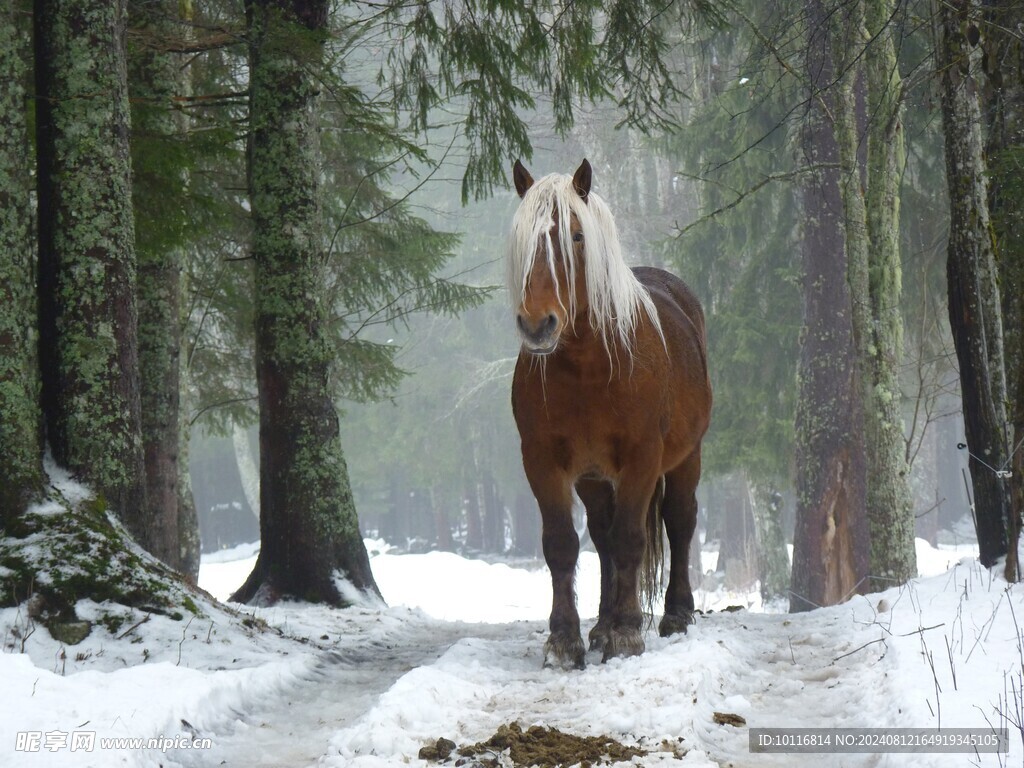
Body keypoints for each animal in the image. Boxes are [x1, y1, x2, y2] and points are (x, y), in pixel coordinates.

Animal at [505, 157, 712, 667]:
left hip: (686, 457)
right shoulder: (544, 462)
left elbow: (630, 540)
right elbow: (563, 545)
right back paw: (600, 624)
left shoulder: (642, 458)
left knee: (679, 522)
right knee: (600, 537)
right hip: (594, 477)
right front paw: (565, 640)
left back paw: (675, 614)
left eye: (576, 237)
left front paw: (628, 633)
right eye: (522, 239)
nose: (537, 325)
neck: (589, 368)